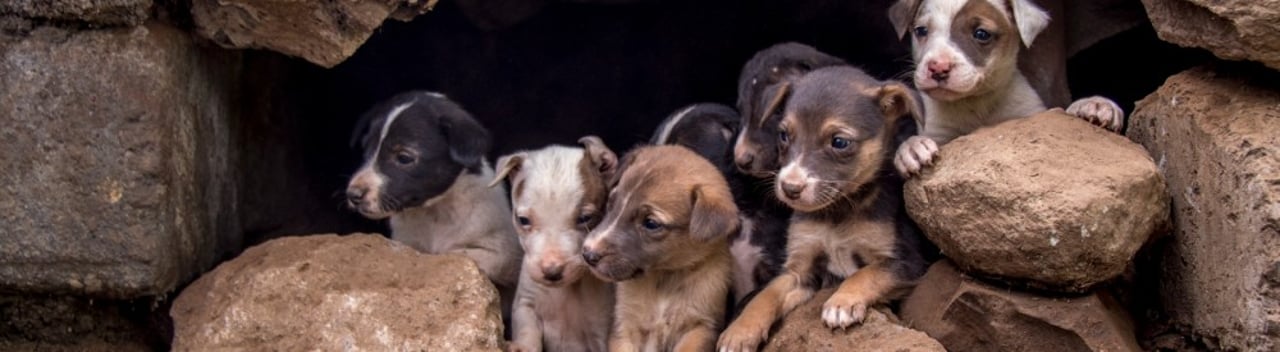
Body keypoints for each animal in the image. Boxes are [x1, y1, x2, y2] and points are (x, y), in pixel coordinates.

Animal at [491, 137, 622, 352]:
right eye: (523, 220)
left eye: (585, 218)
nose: (552, 271)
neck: (566, 291)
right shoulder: (526, 305)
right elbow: (527, 331)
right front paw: (522, 346)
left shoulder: (601, 328)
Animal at [583, 145, 742, 352]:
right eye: (611, 204)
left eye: (651, 223)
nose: (587, 254)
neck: (664, 279)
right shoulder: (624, 324)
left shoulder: (700, 327)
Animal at [885, 0, 1126, 176]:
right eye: (921, 30)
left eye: (981, 34)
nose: (938, 68)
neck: (976, 103)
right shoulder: (939, 132)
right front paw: (912, 148)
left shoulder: (1032, 114)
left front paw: (1094, 105)